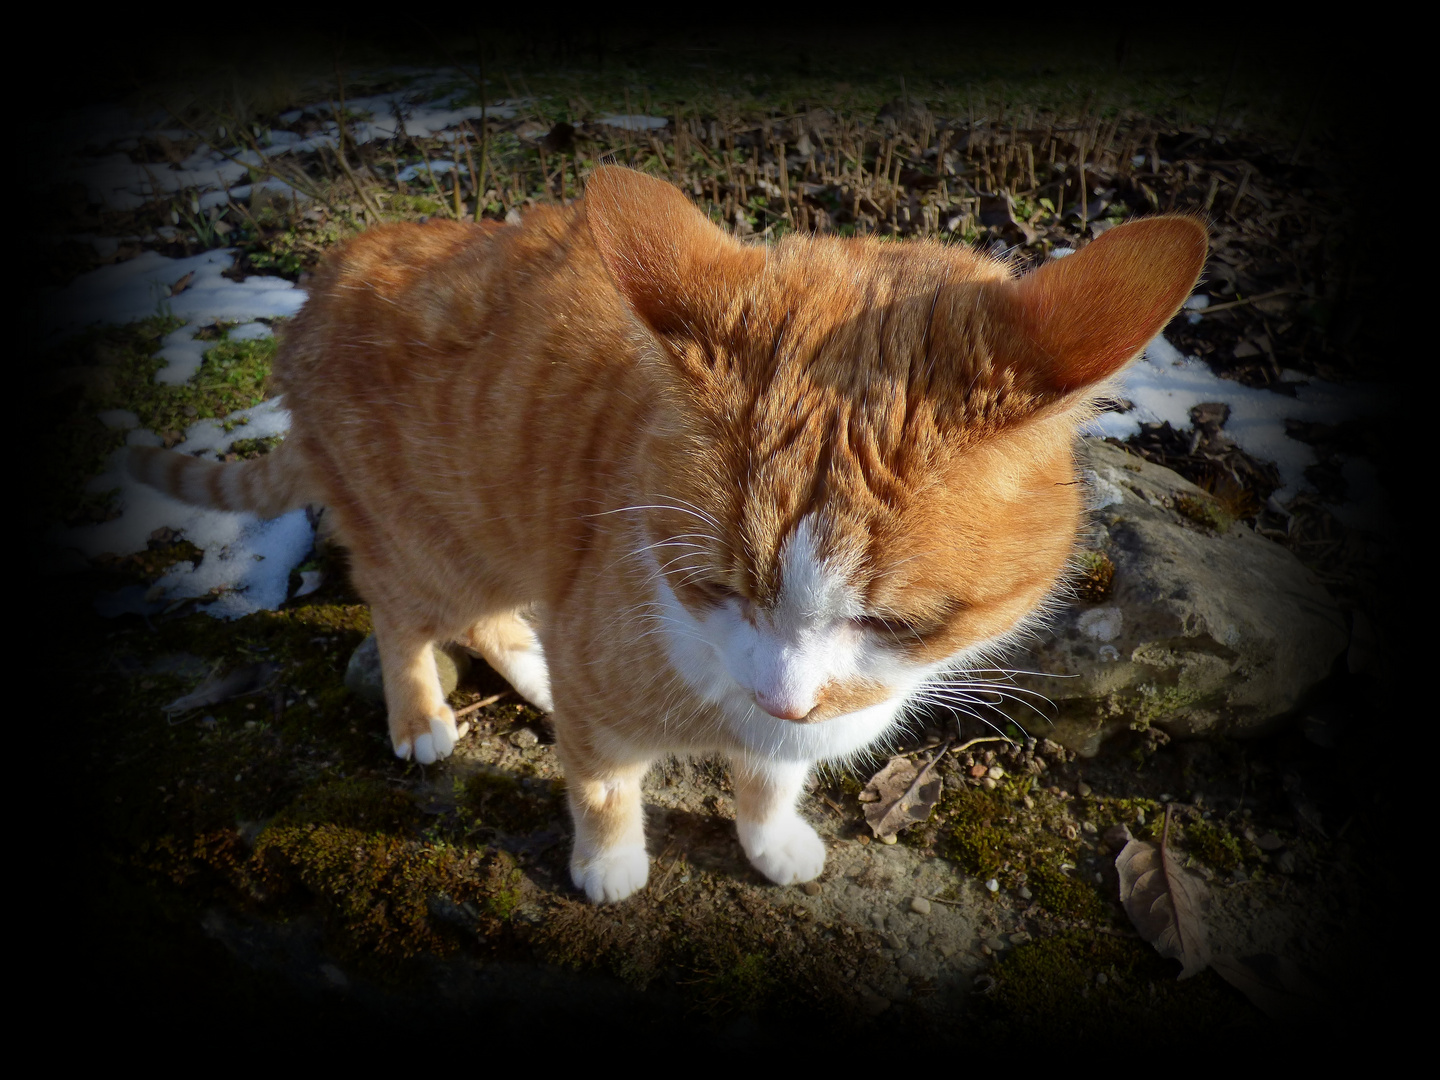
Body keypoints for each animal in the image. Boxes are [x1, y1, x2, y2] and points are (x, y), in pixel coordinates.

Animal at [129, 162, 1209, 904]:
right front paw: (609, 865)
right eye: (715, 585)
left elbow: (771, 782)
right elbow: (605, 785)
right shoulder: (609, 692)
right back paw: (423, 713)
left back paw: (534, 673)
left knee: (495, 620)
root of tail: (316, 283)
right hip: (435, 546)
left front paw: (771, 838)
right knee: (403, 618)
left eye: (896, 624)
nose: (787, 701)